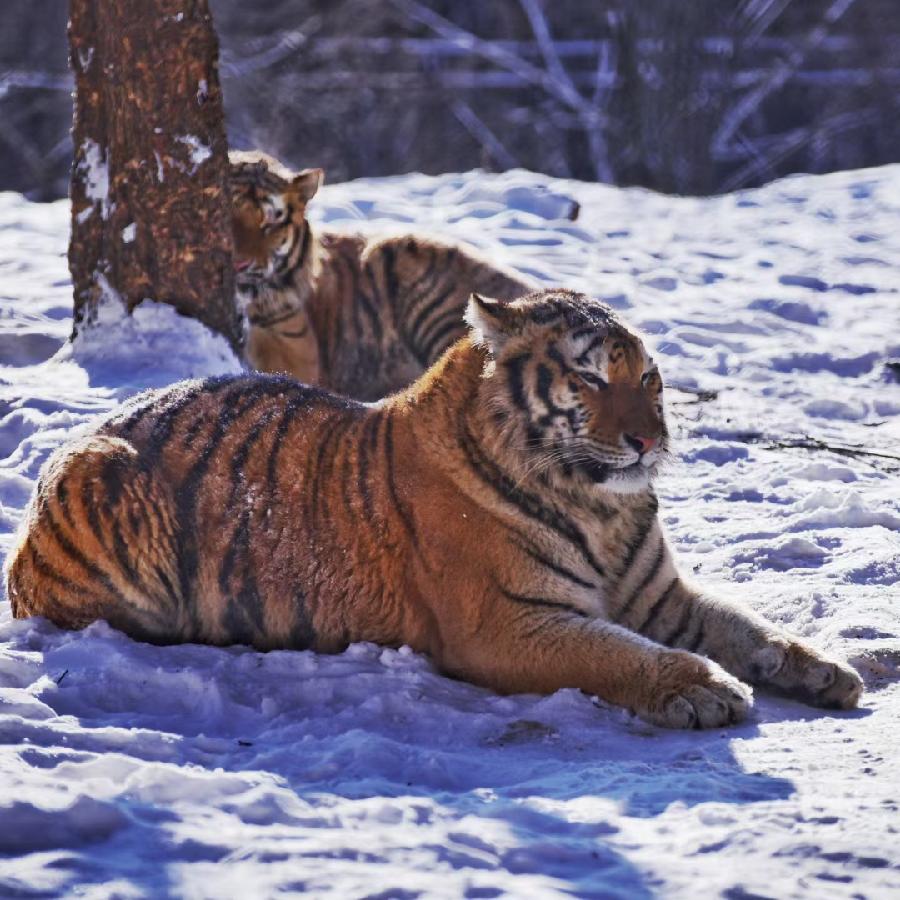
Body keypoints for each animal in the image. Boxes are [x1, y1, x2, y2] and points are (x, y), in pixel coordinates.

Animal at [5, 289, 862, 729]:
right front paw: (705, 690)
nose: (651, 439)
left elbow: (748, 626)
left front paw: (824, 671)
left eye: (649, 378)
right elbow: (620, 653)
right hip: (106, 485)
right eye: (590, 378)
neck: (602, 505)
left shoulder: (661, 596)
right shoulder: (507, 622)